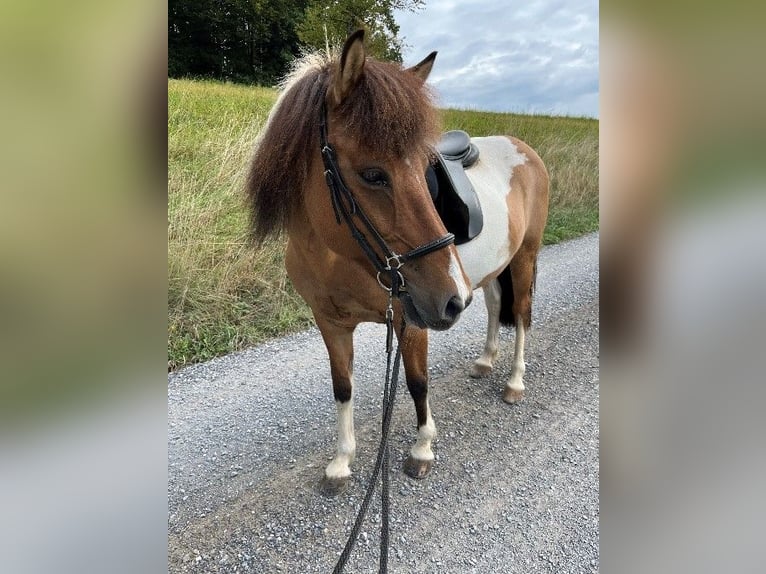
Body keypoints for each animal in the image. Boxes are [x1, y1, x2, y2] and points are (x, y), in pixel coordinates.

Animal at [246, 30, 549, 495]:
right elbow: (342, 387)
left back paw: (514, 380)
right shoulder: (330, 323)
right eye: (372, 175)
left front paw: (422, 448)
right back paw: (485, 361)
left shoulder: (412, 319)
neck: (340, 258)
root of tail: (523, 149)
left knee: (521, 315)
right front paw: (341, 462)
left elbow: (417, 383)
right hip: (493, 270)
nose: (451, 300)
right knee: (497, 305)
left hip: (523, 258)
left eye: (426, 168)